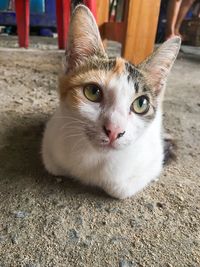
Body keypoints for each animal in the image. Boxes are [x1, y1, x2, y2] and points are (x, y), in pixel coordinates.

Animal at [41, 4, 181, 199]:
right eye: (93, 92)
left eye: (141, 104)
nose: (114, 131)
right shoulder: (52, 139)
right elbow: (53, 166)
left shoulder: (153, 158)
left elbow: (118, 188)